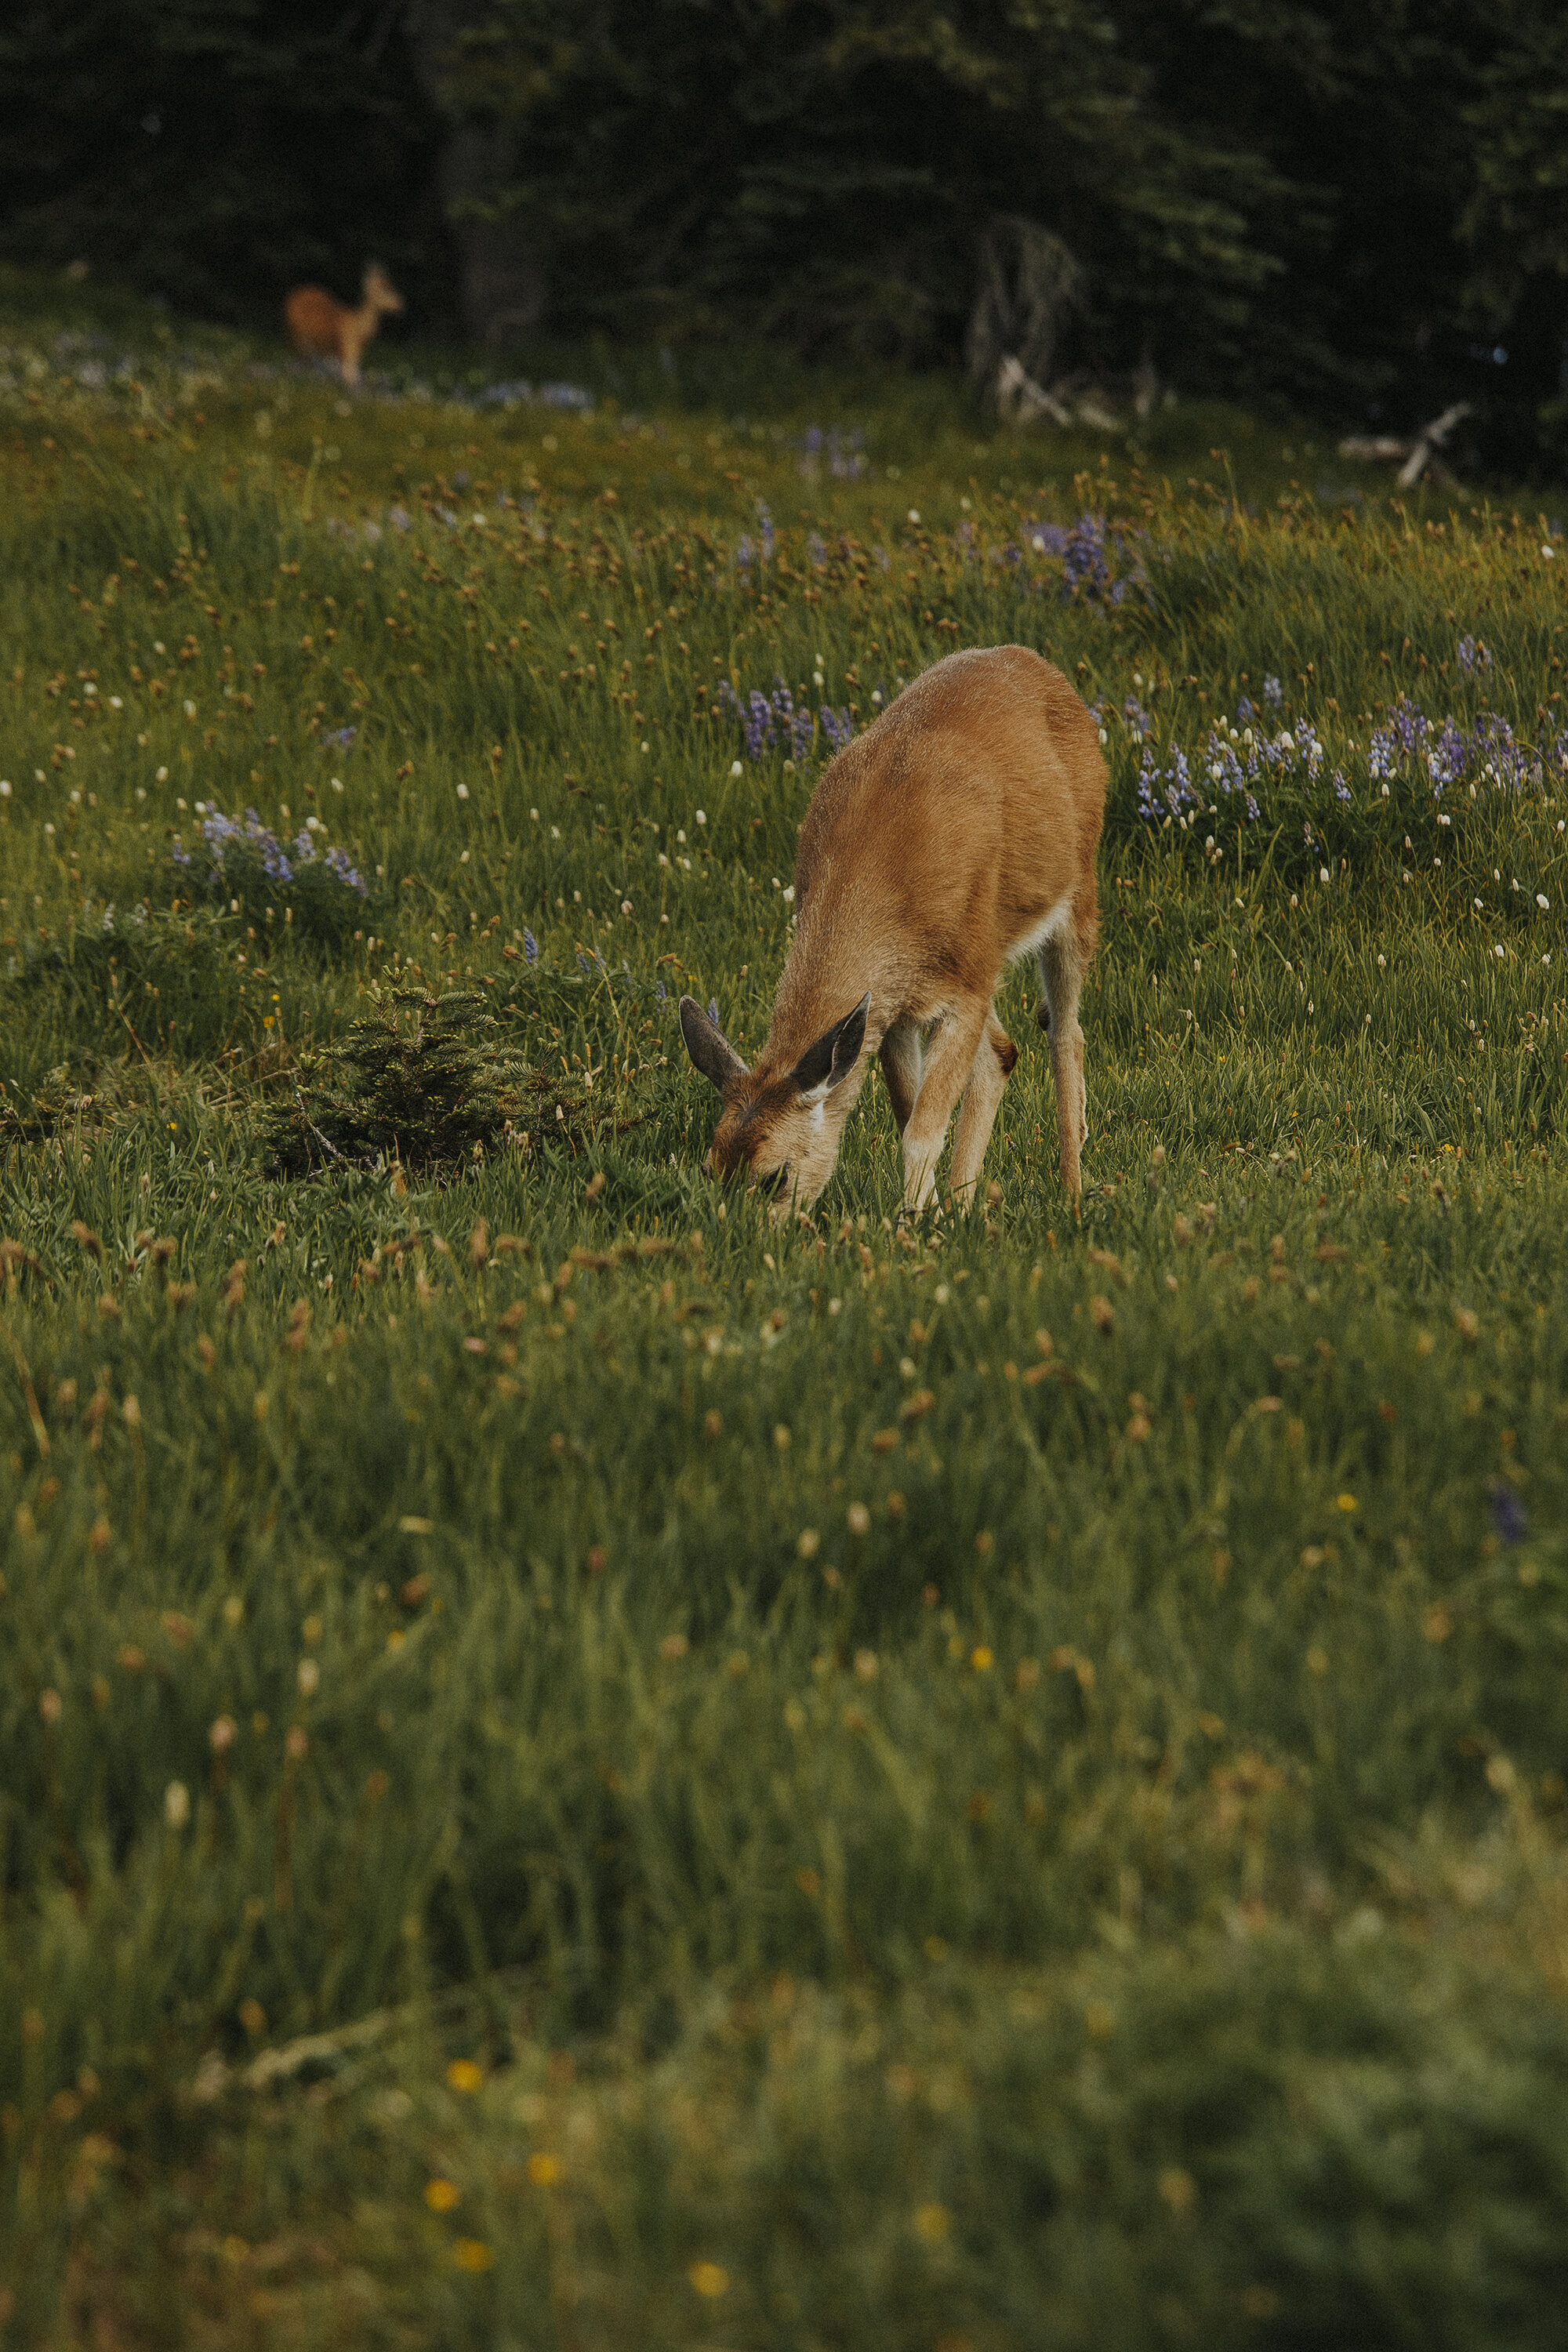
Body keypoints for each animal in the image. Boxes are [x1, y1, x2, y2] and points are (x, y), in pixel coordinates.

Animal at [281, 264, 404, 388]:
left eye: (390, 286)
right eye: (385, 288)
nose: (401, 304)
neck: (360, 330)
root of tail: (290, 298)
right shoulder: (348, 348)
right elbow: (350, 380)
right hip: (297, 333)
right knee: (293, 362)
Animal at [681, 644, 1109, 1214]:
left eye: (775, 1176)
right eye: (710, 1170)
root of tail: (1040, 666)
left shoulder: (965, 985)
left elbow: (922, 1133)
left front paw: (913, 1222)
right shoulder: (891, 1008)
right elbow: (910, 1115)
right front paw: (930, 1212)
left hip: (1074, 898)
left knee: (1066, 1034)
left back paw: (1071, 1192)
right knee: (1002, 1052)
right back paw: (964, 1203)